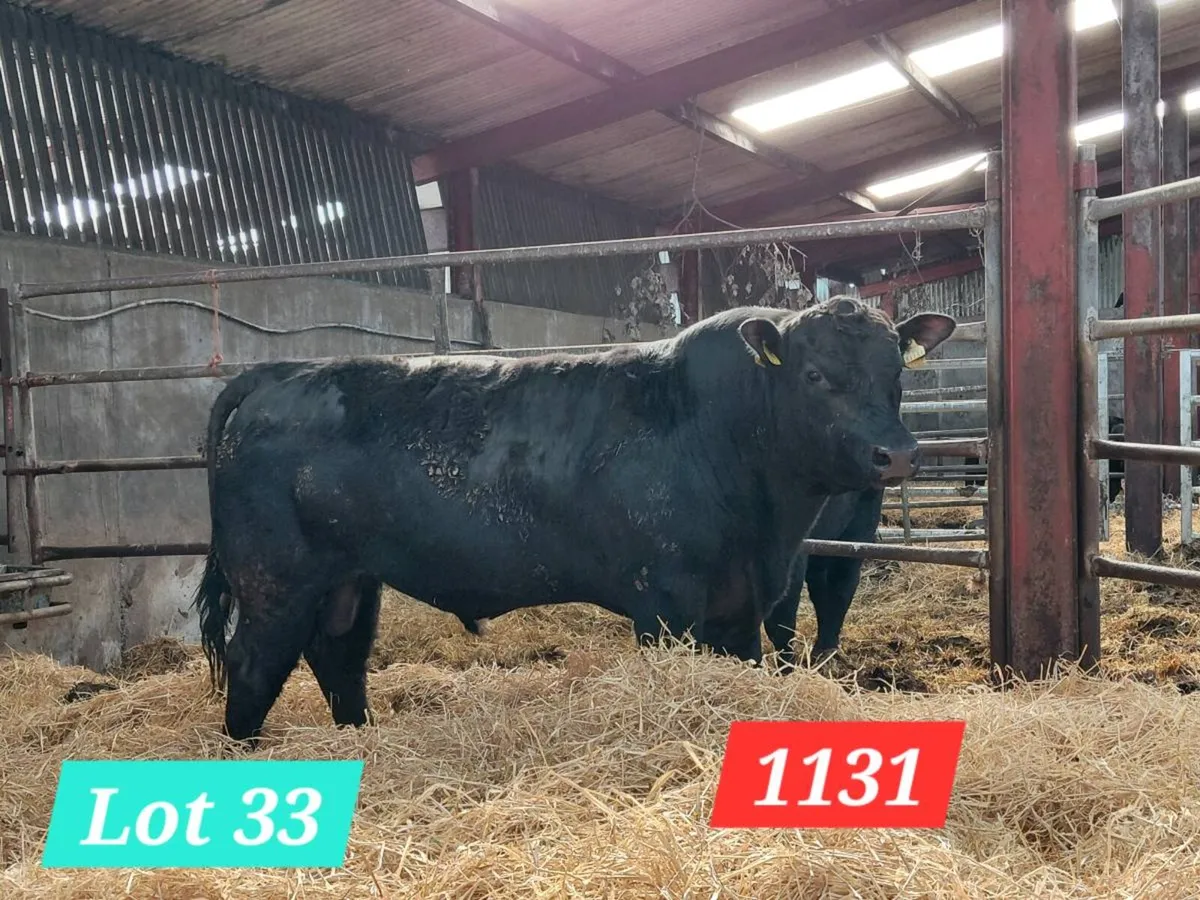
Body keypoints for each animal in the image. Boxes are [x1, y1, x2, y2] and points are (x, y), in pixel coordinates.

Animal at [192, 296, 957, 745]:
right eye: (816, 375)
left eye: (898, 372)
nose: (897, 453)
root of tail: (280, 372)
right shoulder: (665, 602)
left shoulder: (741, 606)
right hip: (275, 581)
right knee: (254, 666)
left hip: (348, 580)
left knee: (339, 660)